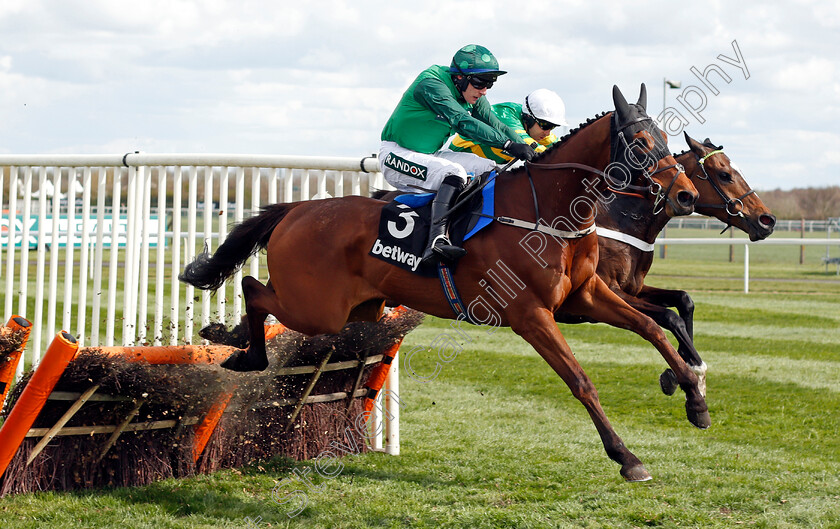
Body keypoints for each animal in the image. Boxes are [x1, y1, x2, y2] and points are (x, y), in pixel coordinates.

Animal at [180, 84, 704, 480]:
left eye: (667, 139)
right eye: (642, 144)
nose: (686, 195)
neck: (549, 212)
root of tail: (297, 209)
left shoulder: (586, 295)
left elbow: (654, 328)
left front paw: (694, 396)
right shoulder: (531, 315)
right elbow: (581, 381)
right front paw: (627, 458)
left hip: (351, 309)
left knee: (259, 293)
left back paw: (234, 340)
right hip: (318, 308)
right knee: (253, 288)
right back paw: (240, 349)